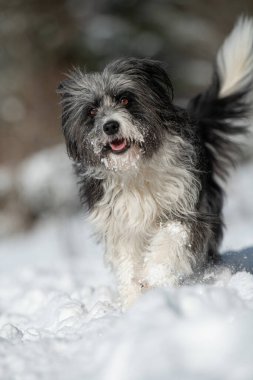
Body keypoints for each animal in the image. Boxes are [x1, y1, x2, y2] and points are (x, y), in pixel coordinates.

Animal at [57, 17, 253, 308]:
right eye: (91, 111)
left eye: (125, 99)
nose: (110, 126)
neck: (135, 168)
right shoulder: (120, 222)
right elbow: (127, 263)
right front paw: (133, 301)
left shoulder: (186, 207)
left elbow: (172, 237)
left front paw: (156, 278)